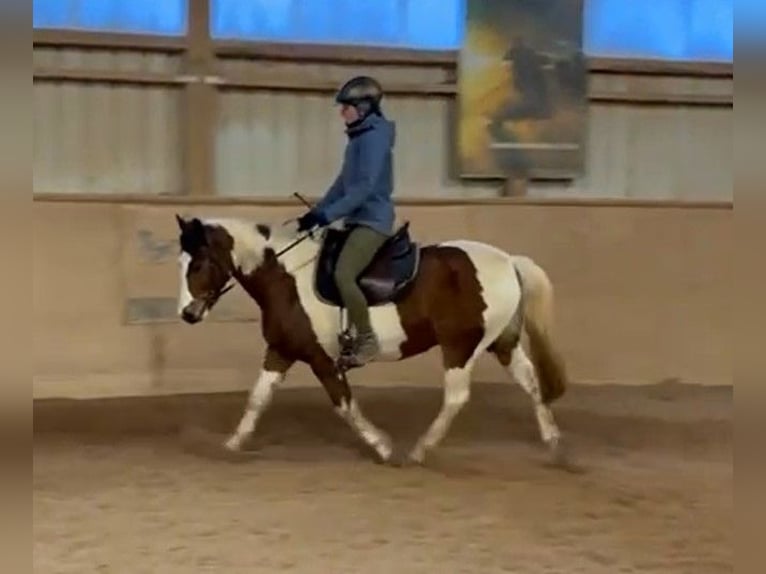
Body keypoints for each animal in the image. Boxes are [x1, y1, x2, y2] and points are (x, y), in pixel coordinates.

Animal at [175, 214, 568, 466]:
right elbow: (258, 398)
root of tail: (508, 261)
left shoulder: (322, 360)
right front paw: (232, 444)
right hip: (501, 343)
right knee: (532, 383)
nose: (187, 314)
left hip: (460, 347)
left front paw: (382, 446)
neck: (287, 279)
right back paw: (553, 444)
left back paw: (419, 450)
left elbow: (344, 405)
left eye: (197, 264)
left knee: (457, 397)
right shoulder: (281, 351)